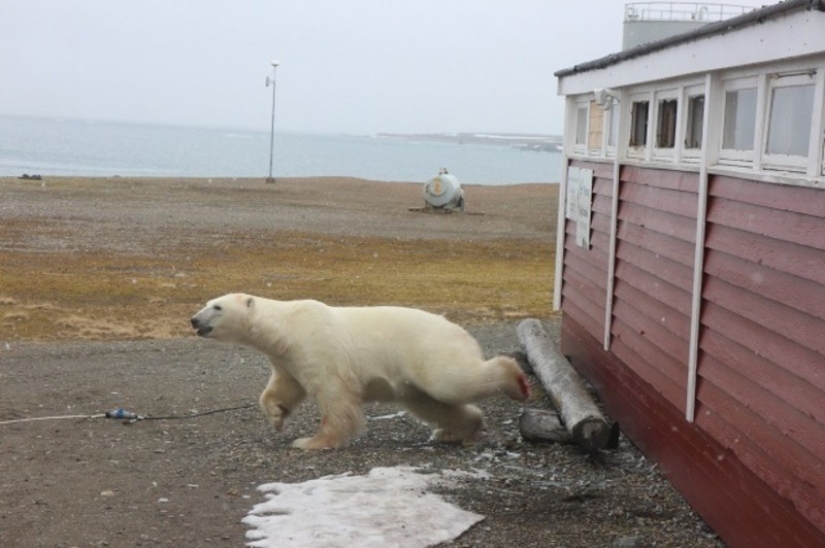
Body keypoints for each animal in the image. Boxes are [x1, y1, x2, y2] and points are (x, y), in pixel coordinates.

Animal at [190, 293, 531, 450]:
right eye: (207, 302)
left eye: (217, 307)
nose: (194, 320)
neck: (287, 327)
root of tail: (460, 330)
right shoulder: (288, 358)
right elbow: (284, 387)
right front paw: (276, 417)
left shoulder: (318, 346)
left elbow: (334, 396)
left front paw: (312, 442)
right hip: (410, 380)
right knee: (431, 403)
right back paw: (454, 430)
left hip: (428, 350)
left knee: (450, 382)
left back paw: (517, 380)